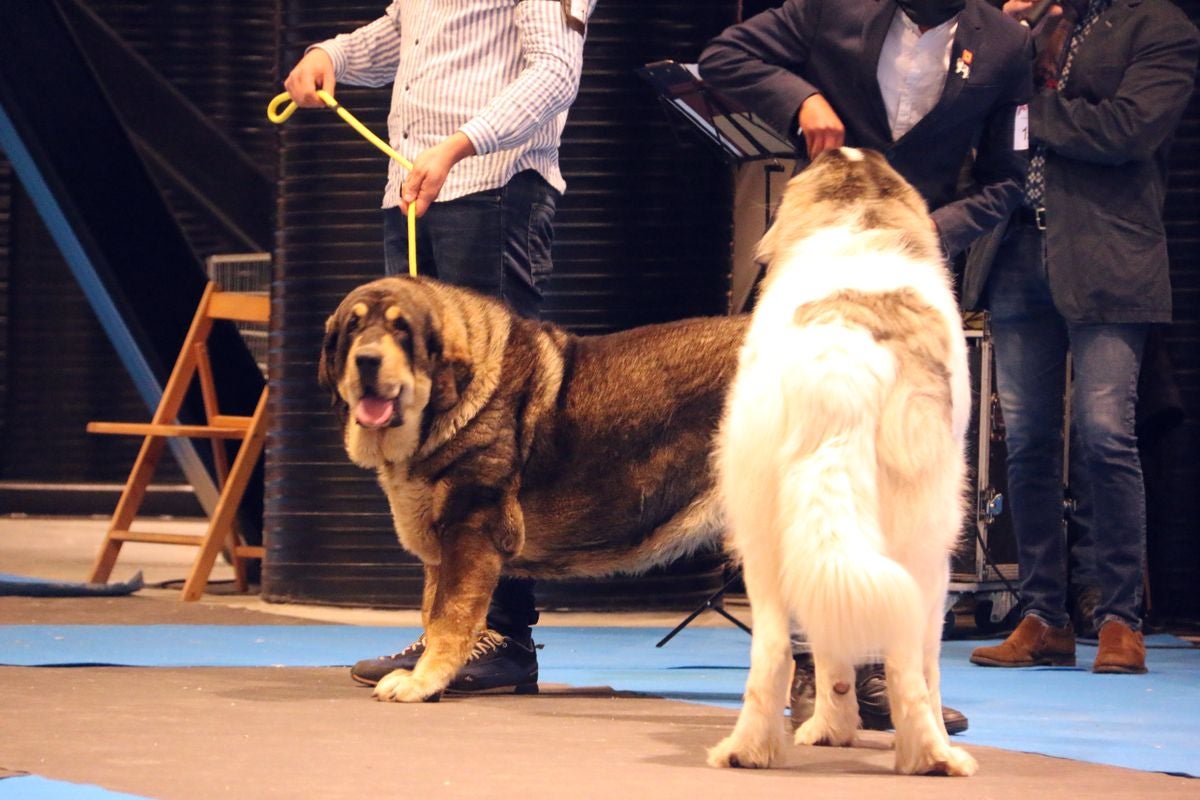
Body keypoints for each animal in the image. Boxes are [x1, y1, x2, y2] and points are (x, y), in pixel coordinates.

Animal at [705, 148, 979, 777]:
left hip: (765, 531)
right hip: (922, 544)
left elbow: (829, 648)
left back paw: (747, 750)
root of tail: (843, 364)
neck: (858, 222)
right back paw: (933, 754)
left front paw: (831, 728)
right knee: (908, 660)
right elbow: (923, 664)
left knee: (776, 647)